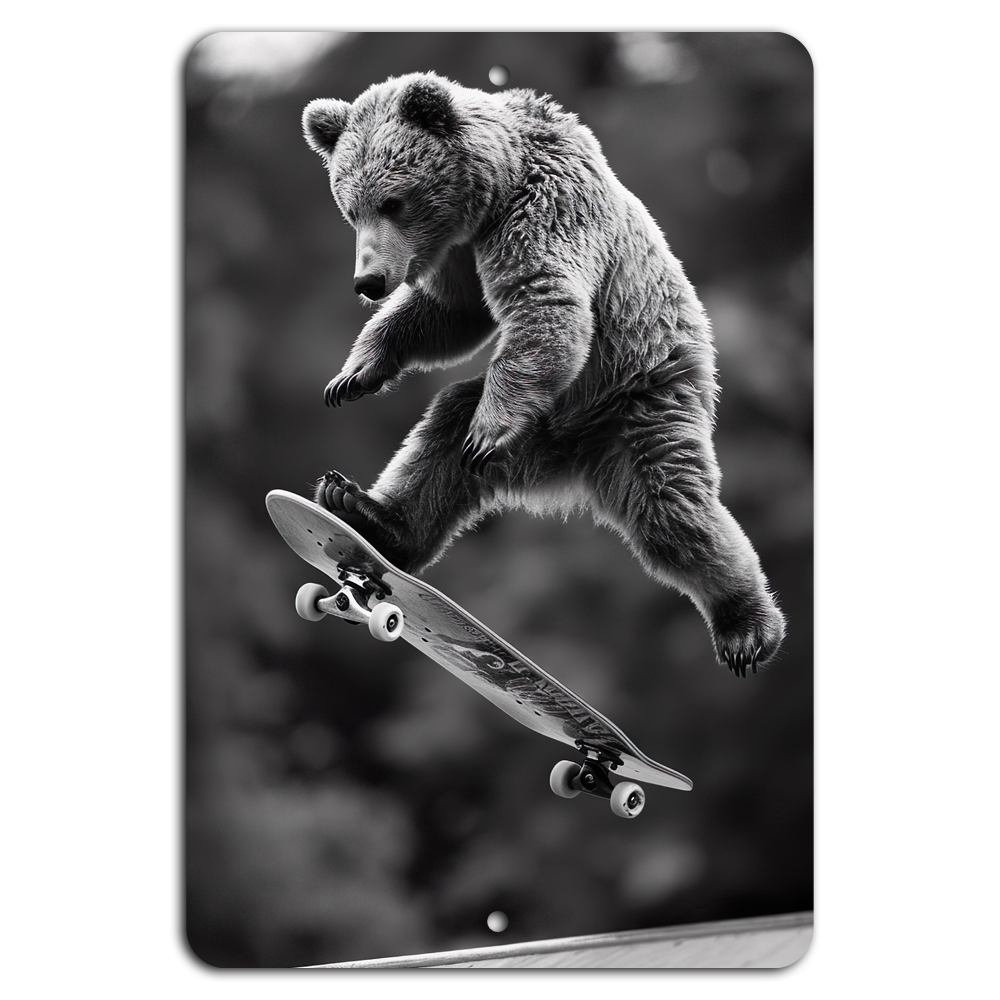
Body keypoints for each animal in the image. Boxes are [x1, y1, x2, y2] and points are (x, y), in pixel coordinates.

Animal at [301, 72, 785, 677]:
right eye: (352, 210)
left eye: (393, 201)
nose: (369, 280)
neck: (490, 195)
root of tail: (576, 467)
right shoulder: (459, 254)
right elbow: (449, 313)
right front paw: (355, 374)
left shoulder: (547, 209)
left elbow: (546, 300)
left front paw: (483, 430)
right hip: (541, 430)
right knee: (443, 435)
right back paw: (365, 510)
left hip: (639, 397)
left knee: (672, 512)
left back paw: (747, 627)